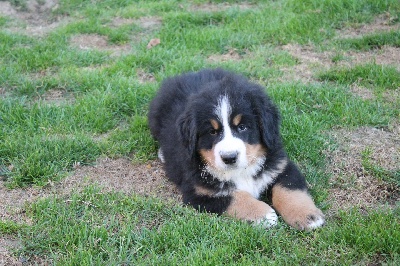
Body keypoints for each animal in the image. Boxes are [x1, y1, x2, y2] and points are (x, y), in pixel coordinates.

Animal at [148, 68, 324, 231]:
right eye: (212, 132)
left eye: (242, 127)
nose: (229, 157)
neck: (241, 171)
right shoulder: (200, 192)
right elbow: (234, 197)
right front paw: (263, 214)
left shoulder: (281, 166)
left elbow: (289, 190)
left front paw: (307, 215)